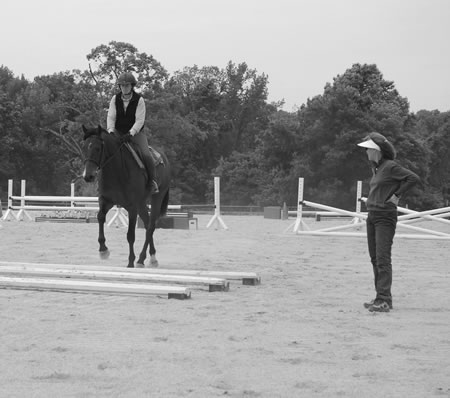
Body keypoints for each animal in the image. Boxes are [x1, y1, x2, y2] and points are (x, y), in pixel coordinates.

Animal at [81, 124, 171, 268]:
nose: (87, 176)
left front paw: (130, 262)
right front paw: (103, 250)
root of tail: (163, 157)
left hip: (157, 198)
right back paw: (150, 257)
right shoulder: (105, 200)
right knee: (147, 224)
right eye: (83, 147)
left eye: (97, 148)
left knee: (150, 227)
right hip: (141, 204)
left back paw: (142, 259)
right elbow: (100, 217)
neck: (116, 171)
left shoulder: (132, 207)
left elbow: (130, 235)